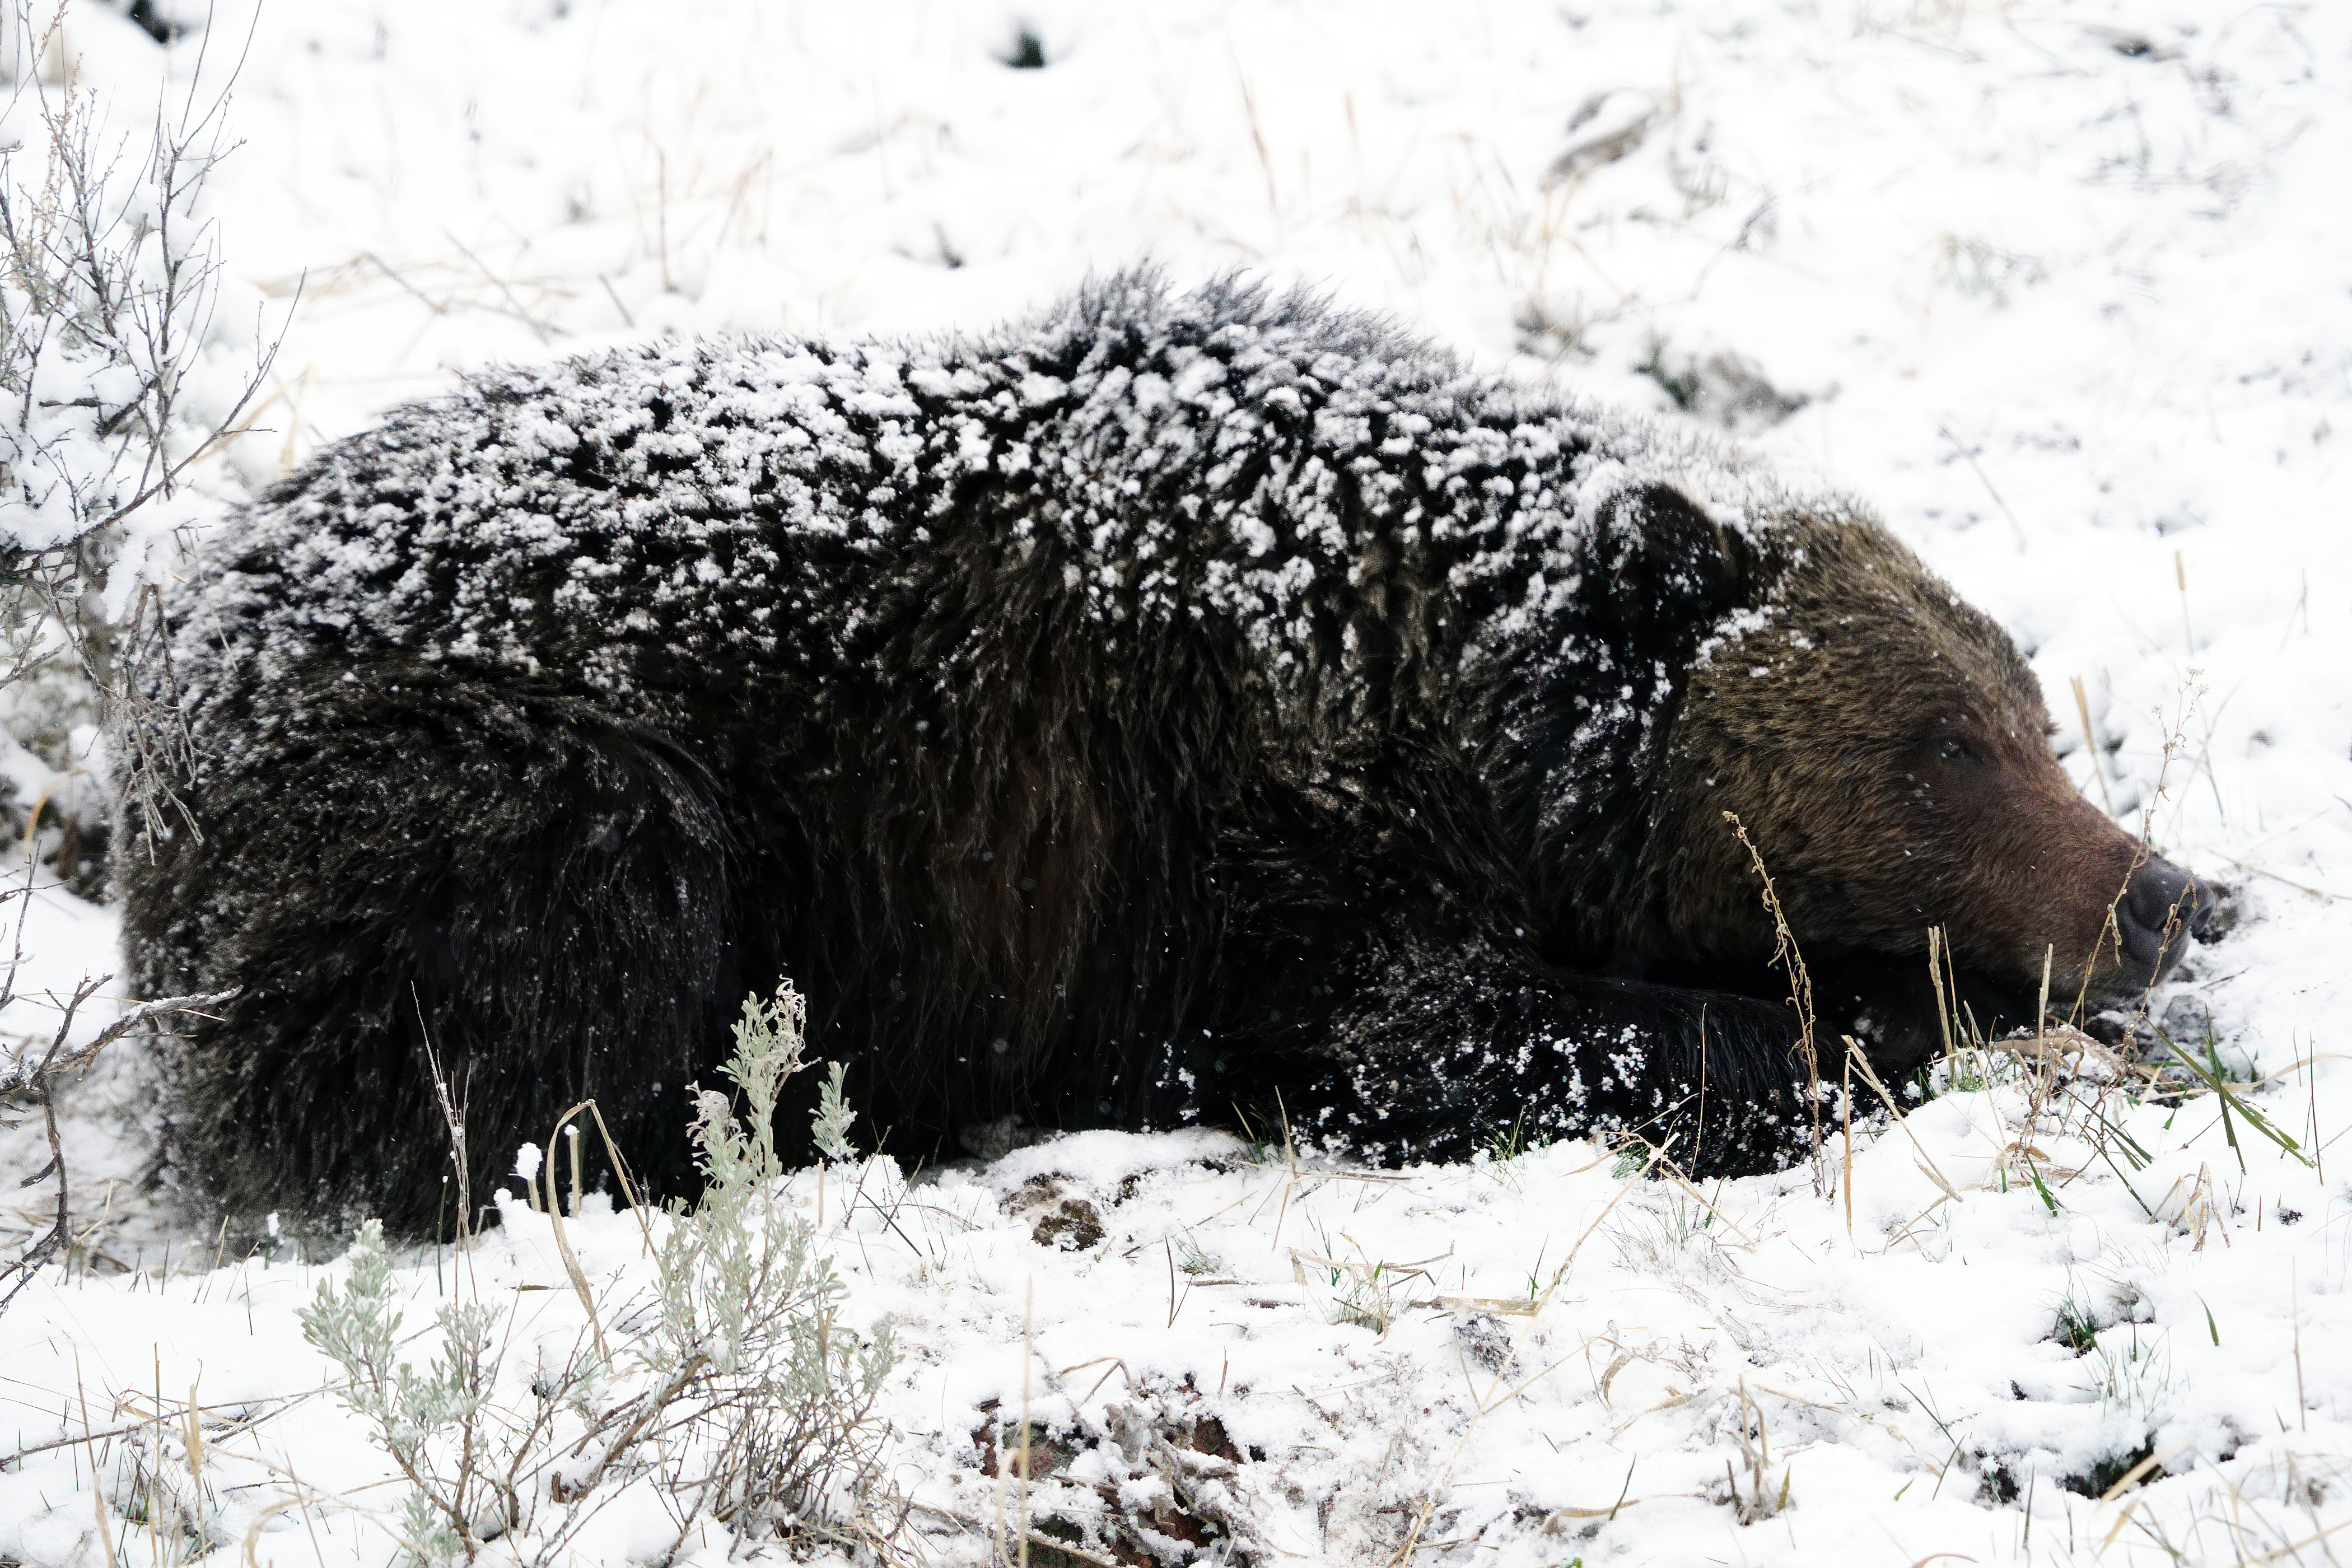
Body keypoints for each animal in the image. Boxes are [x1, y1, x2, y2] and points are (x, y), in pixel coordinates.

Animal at [119, 272, 2210, 1241]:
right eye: (1940, 749)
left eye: (2026, 713)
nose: (2169, 897)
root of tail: (172, 652)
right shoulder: (1238, 848)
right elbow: (1439, 1040)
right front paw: (1887, 1024)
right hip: (513, 774)